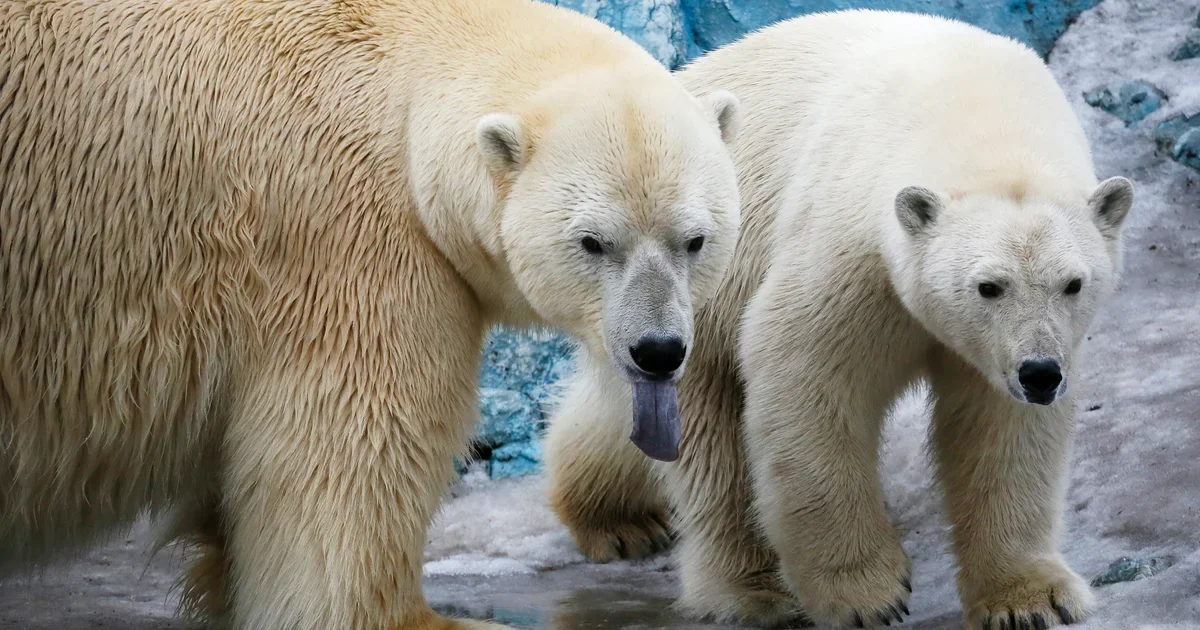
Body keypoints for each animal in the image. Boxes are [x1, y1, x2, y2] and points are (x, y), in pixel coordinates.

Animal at [0, 1, 742, 629]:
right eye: (593, 242)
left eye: (695, 239)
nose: (658, 349)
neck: (409, 78)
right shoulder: (351, 242)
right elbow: (357, 448)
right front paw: (432, 619)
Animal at [545, 9, 1134, 630]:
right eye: (988, 286)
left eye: (1073, 283)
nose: (1039, 373)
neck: (975, 111)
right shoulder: (851, 241)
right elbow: (808, 376)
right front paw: (866, 594)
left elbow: (1000, 428)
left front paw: (1032, 598)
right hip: (688, 286)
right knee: (707, 441)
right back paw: (737, 580)